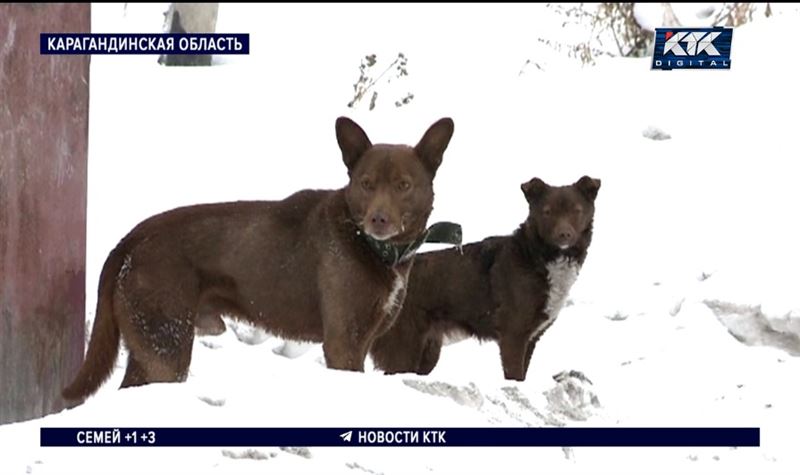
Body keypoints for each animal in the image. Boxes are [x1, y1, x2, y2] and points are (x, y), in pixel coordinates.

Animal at [63, 117, 456, 400]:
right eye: (366, 183)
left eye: (404, 186)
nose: (378, 220)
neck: (375, 248)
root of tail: (131, 239)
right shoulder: (344, 343)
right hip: (166, 345)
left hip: (150, 346)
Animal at [372, 177, 596, 382]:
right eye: (547, 212)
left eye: (576, 210)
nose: (564, 234)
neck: (536, 257)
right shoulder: (513, 336)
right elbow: (515, 376)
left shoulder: (531, 339)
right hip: (404, 348)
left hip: (427, 352)